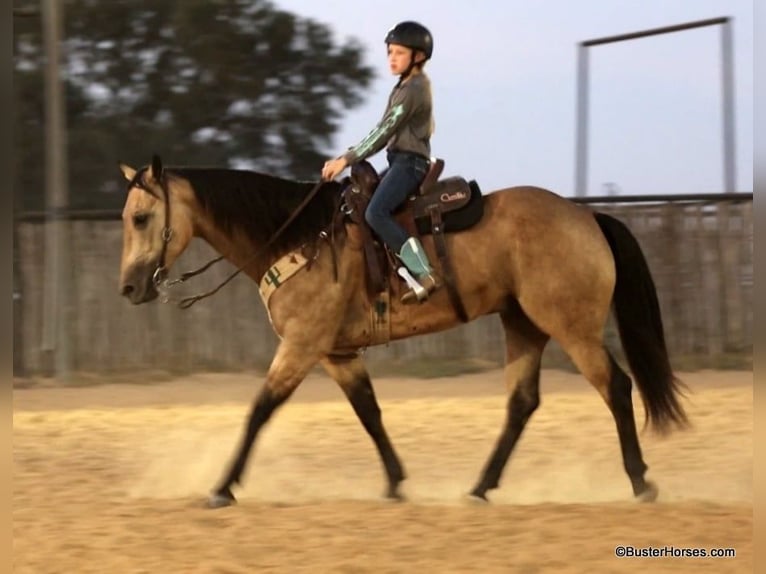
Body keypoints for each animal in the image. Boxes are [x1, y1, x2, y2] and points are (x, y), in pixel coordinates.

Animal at [118, 154, 688, 508]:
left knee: (616, 386)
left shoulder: (301, 346)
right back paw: (479, 488)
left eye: (142, 218)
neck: (298, 237)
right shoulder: (336, 352)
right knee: (522, 403)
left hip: (571, 327)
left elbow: (260, 410)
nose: (128, 287)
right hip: (523, 323)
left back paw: (640, 481)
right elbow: (368, 411)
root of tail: (587, 217)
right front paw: (394, 482)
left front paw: (222, 487)